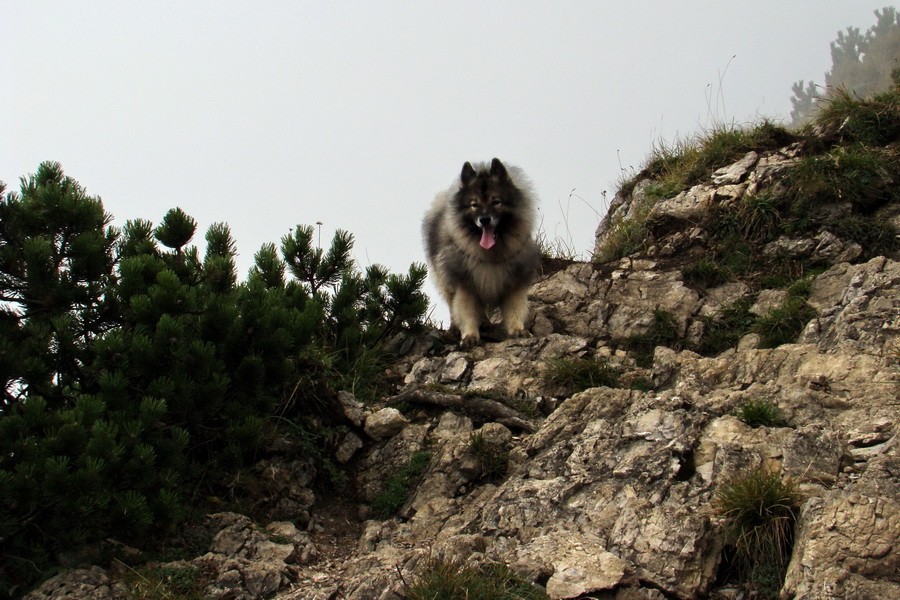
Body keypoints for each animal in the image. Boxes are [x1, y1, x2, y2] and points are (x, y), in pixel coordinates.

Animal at [424, 158, 540, 346]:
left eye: (496, 202)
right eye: (474, 205)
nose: (484, 220)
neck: (491, 254)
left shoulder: (514, 282)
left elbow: (515, 309)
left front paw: (517, 330)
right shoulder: (465, 285)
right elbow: (467, 311)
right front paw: (470, 335)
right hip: (445, 280)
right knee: (452, 306)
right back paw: (456, 329)